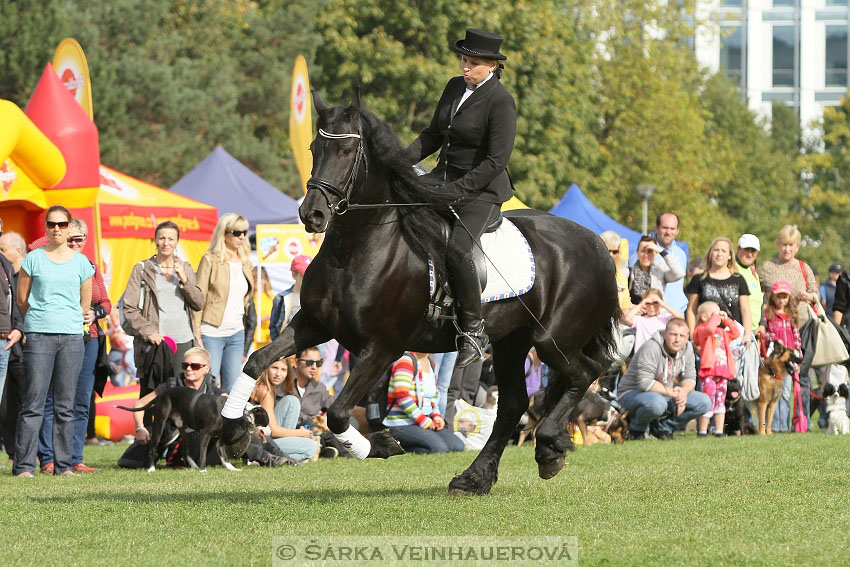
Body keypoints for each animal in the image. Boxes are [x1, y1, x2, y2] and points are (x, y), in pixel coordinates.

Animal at [119, 388, 268, 472]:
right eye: (266, 423)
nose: (269, 431)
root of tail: (161, 394)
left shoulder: (217, 439)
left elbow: (223, 456)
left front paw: (231, 468)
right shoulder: (205, 435)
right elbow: (203, 453)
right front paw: (203, 470)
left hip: (185, 432)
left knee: (186, 451)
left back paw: (193, 466)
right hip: (160, 425)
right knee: (153, 446)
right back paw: (151, 469)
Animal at [242, 91, 620, 494]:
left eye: (346, 151)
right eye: (314, 148)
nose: (312, 214)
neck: (353, 251)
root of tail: (597, 243)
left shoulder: (383, 347)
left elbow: (340, 413)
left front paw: (382, 445)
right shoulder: (315, 325)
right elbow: (256, 362)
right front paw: (242, 422)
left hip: (553, 340)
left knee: (587, 372)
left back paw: (547, 447)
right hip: (511, 342)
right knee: (513, 405)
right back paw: (475, 477)